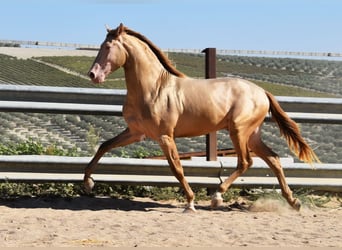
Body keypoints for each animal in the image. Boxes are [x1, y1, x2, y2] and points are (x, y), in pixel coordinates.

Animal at [84, 23, 320, 212]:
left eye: (107, 47)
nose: (93, 75)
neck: (153, 88)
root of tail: (262, 92)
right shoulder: (136, 132)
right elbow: (104, 146)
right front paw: (88, 183)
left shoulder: (164, 136)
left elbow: (176, 168)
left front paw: (190, 202)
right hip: (252, 135)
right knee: (274, 159)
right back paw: (294, 202)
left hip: (238, 130)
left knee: (246, 161)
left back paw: (217, 196)